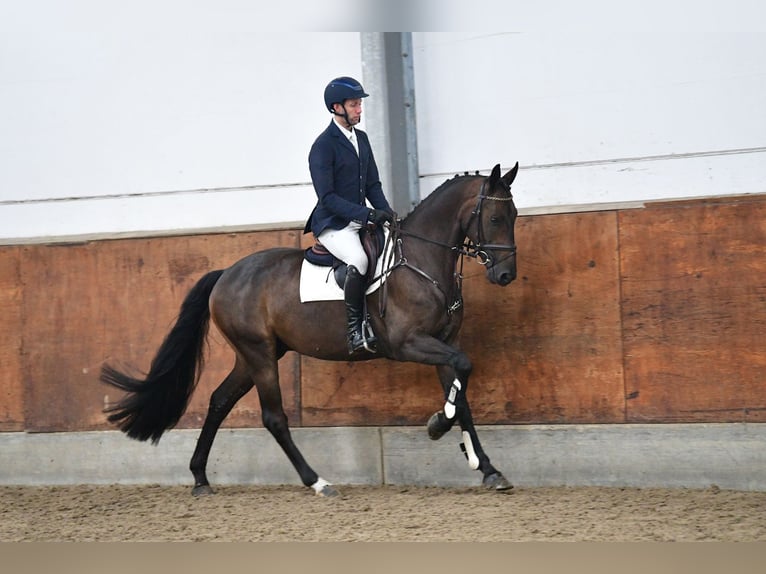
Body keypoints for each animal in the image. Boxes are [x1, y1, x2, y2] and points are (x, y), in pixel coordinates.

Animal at [102, 162, 520, 500]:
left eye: (514, 216)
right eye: (495, 218)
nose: (505, 275)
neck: (422, 260)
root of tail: (225, 274)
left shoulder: (445, 341)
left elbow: (462, 395)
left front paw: (487, 468)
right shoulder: (410, 344)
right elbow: (462, 375)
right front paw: (437, 426)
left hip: (255, 354)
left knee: (220, 401)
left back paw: (201, 478)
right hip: (259, 354)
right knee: (273, 417)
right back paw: (317, 482)